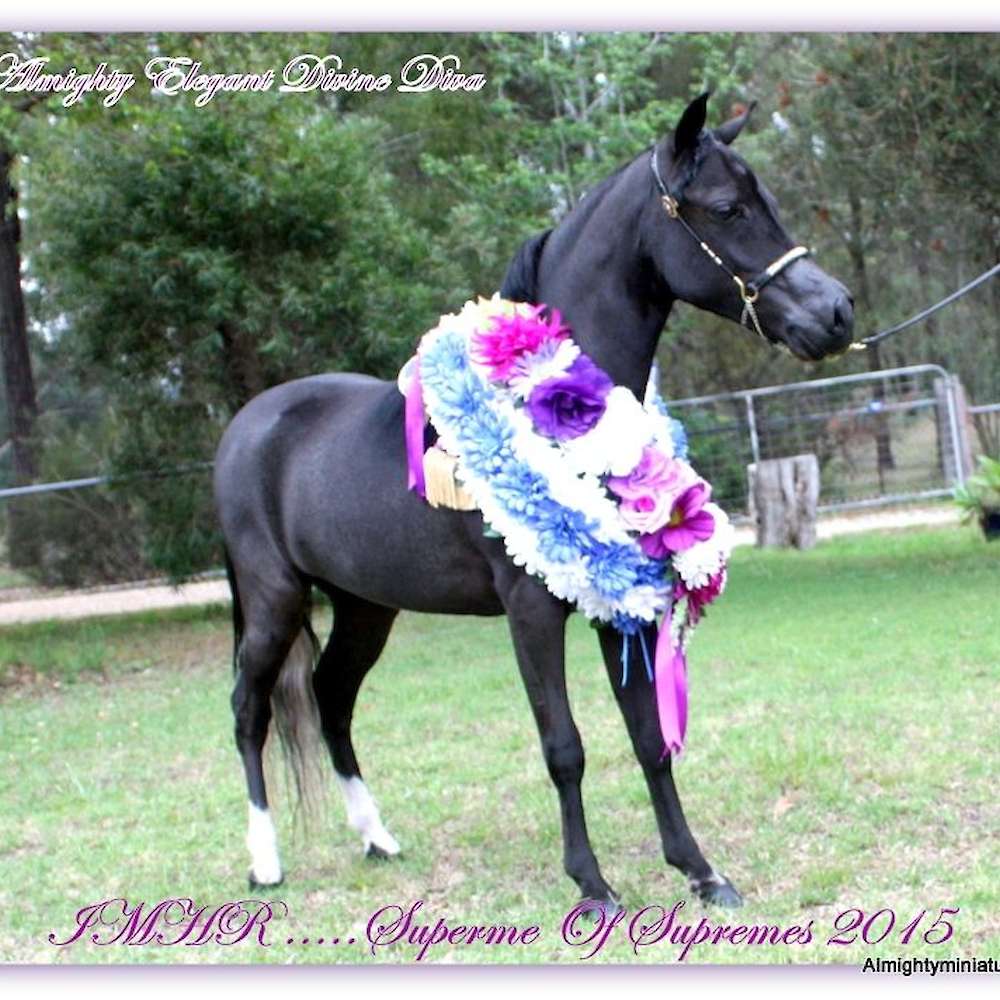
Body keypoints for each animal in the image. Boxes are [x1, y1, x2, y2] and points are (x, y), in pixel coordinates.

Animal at [213, 93, 854, 910]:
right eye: (726, 208)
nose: (836, 313)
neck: (560, 410)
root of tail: (248, 426)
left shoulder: (621, 604)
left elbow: (649, 738)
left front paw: (701, 871)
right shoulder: (531, 611)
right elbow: (565, 747)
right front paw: (592, 883)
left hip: (364, 605)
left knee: (331, 697)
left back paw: (376, 838)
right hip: (274, 601)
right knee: (250, 709)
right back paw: (265, 862)